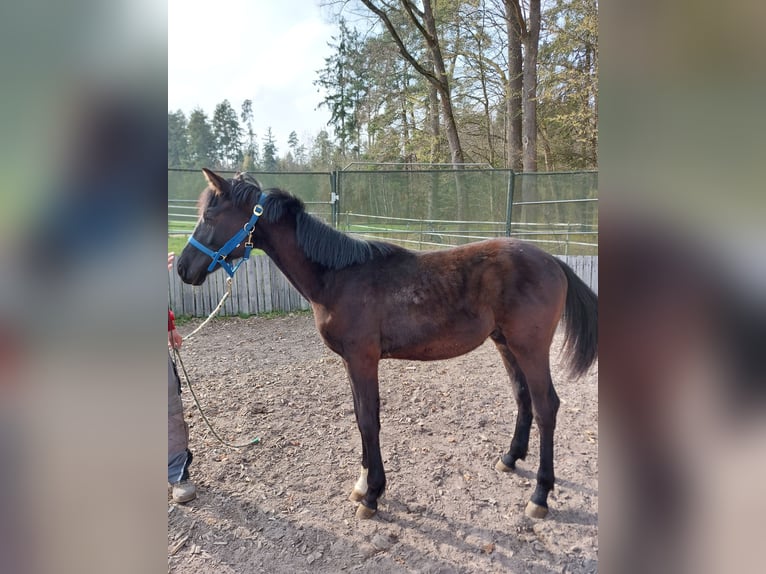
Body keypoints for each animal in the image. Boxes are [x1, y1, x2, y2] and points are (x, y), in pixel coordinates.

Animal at [177, 168, 598, 520]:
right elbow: (361, 417)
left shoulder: (363, 359)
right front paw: (363, 484)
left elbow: (369, 419)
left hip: (530, 347)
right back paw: (510, 458)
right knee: (522, 396)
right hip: (505, 343)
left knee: (546, 406)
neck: (338, 277)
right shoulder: (351, 361)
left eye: (210, 217)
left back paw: (540, 496)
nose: (182, 268)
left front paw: (373, 495)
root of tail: (554, 262)